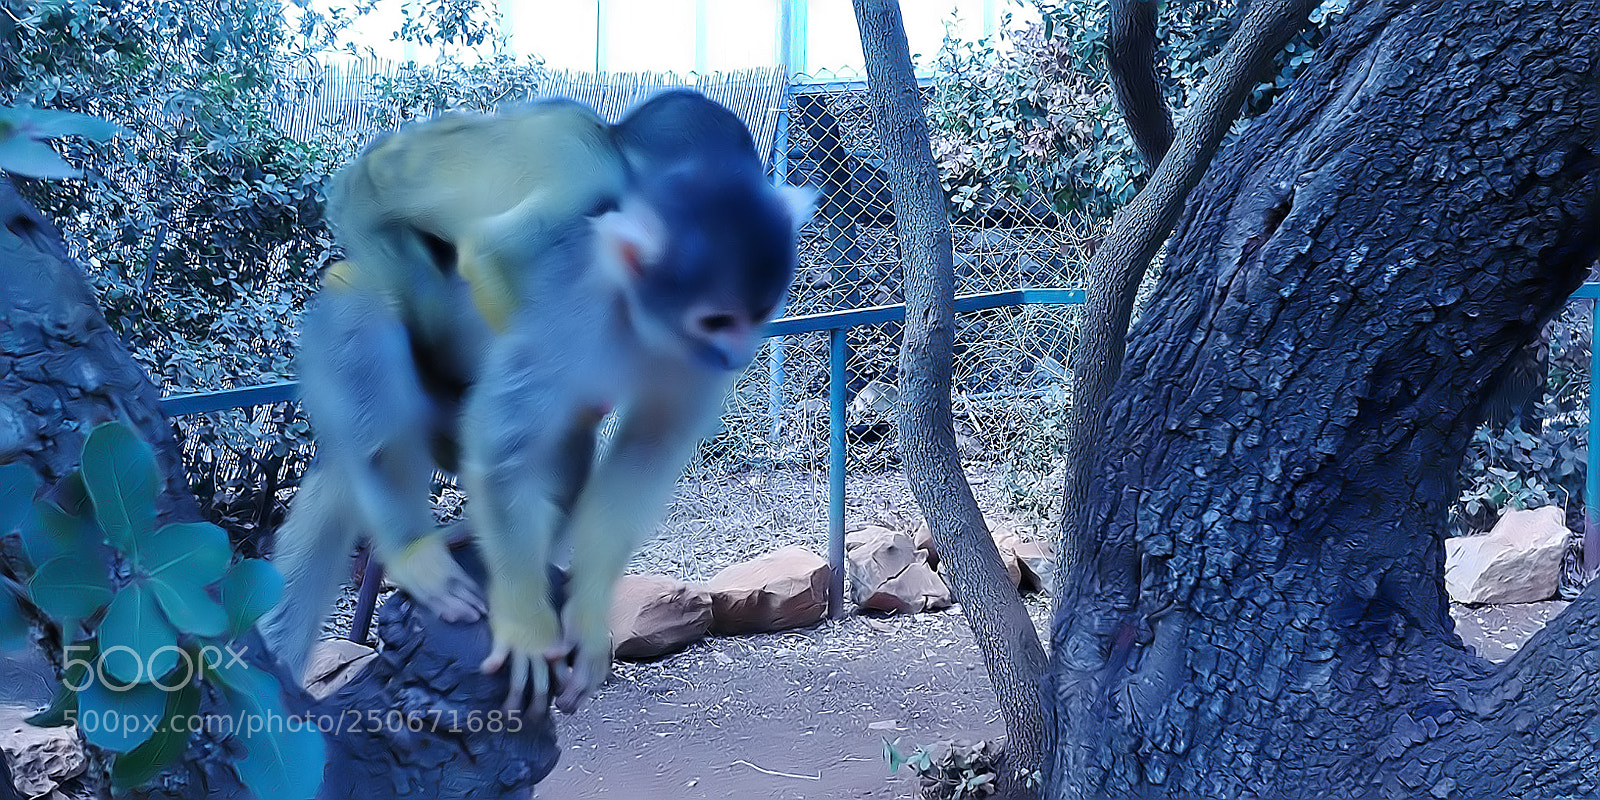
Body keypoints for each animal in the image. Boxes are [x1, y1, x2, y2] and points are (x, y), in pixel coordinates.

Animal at [260, 91, 813, 714]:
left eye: (757, 314)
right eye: (716, 319)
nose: (738, 354)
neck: (637, 319)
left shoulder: (689, 362)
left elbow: (645, 455)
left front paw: (588, 616)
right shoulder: (572, 300)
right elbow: (501, 441)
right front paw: (525, 622)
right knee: (366, 307)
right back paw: (413, 548)